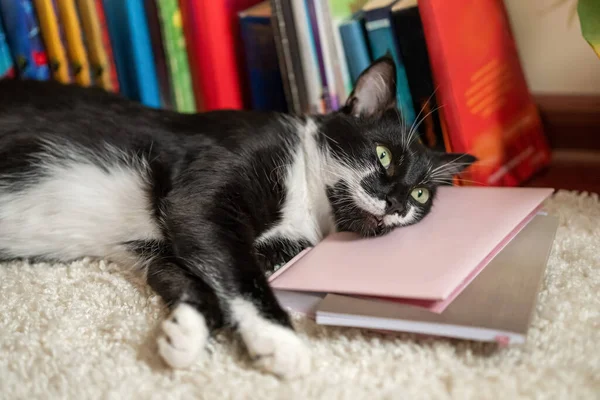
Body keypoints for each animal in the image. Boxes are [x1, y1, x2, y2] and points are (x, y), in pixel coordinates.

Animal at [0, 56, 476, 378]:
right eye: (383, 156)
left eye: (421, 195)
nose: (398, 203)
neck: (307, 205)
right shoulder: (204, 192)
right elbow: (242, 273)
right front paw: (280, 339)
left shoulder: (176, 243)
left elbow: (181, 272)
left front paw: (185, 333)